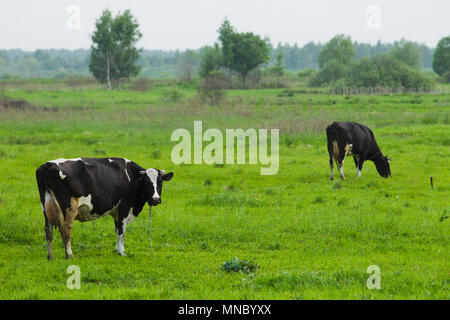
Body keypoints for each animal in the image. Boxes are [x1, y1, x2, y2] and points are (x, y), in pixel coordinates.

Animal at [35, 158, 174, 260]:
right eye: (146, 182)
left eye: (160, 183)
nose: (156, 199)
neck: (130, 177)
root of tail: (48, 165)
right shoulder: (124, 207)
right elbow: (122, 231)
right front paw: (122, 252)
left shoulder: (116, 211)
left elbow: (117, 229)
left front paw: (117, 250)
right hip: (68, 207)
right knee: (65, 229)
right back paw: (69, 255)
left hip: (45, 205)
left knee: (48, 230)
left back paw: (50, 256)